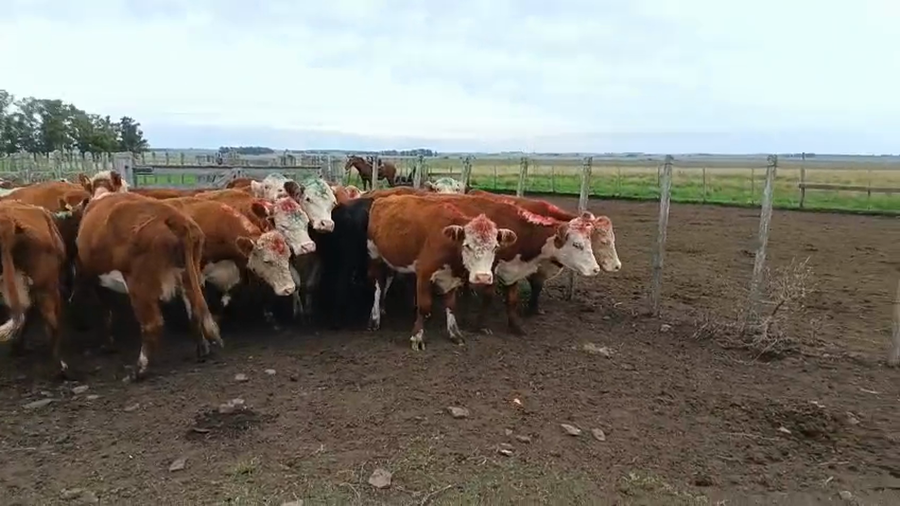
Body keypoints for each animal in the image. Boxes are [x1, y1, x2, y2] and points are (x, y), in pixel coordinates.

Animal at [75, 192, 221, 380]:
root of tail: (176, 218)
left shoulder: (94, 279)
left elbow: (106, 312)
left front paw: (107, 345)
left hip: (139, 286)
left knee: (152, 324)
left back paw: (139, 370)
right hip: (189, 275)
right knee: (195, 309)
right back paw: (202, 349)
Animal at [366, 194, 517, 351]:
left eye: (495, 247)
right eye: (467, 245)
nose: (483, 277)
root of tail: (383, 198)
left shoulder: (452, 278)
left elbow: (451, 306)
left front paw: (454, 333)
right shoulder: (424, 272)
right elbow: (424, 306)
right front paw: (417, 337)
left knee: (387, 280)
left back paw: (382, 308)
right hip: (374, 254)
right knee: (378, 285)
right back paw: (375, 318)